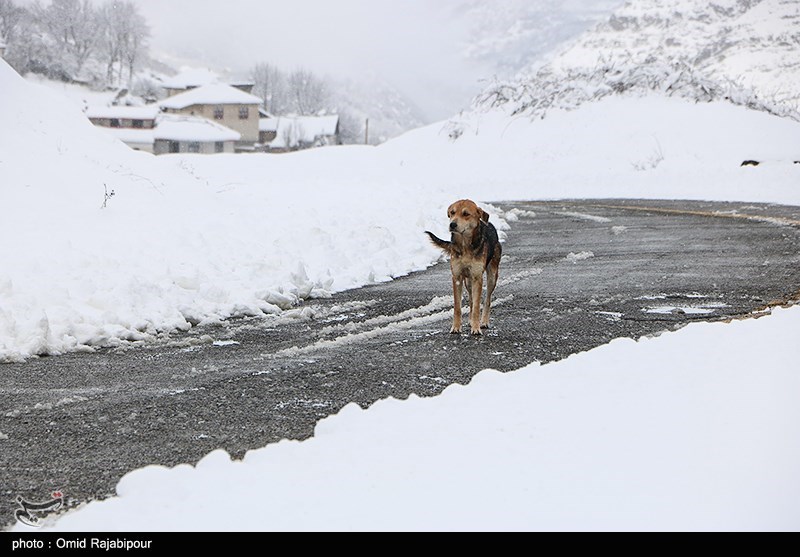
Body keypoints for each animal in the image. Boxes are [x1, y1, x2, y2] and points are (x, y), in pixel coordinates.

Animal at [424, 199, 500, 334]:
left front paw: (476, 328)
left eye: (466, 214)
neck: (465, 244)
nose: (452, 225)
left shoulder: (477, 277)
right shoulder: (457, 277)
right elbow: (458, 307)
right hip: (467, 281)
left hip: (492, 275)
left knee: (487, 300)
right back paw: (470, 320)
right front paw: (456, 327)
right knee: (471, 299)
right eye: (452, 213)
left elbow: (477, 306)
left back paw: (483, 322)